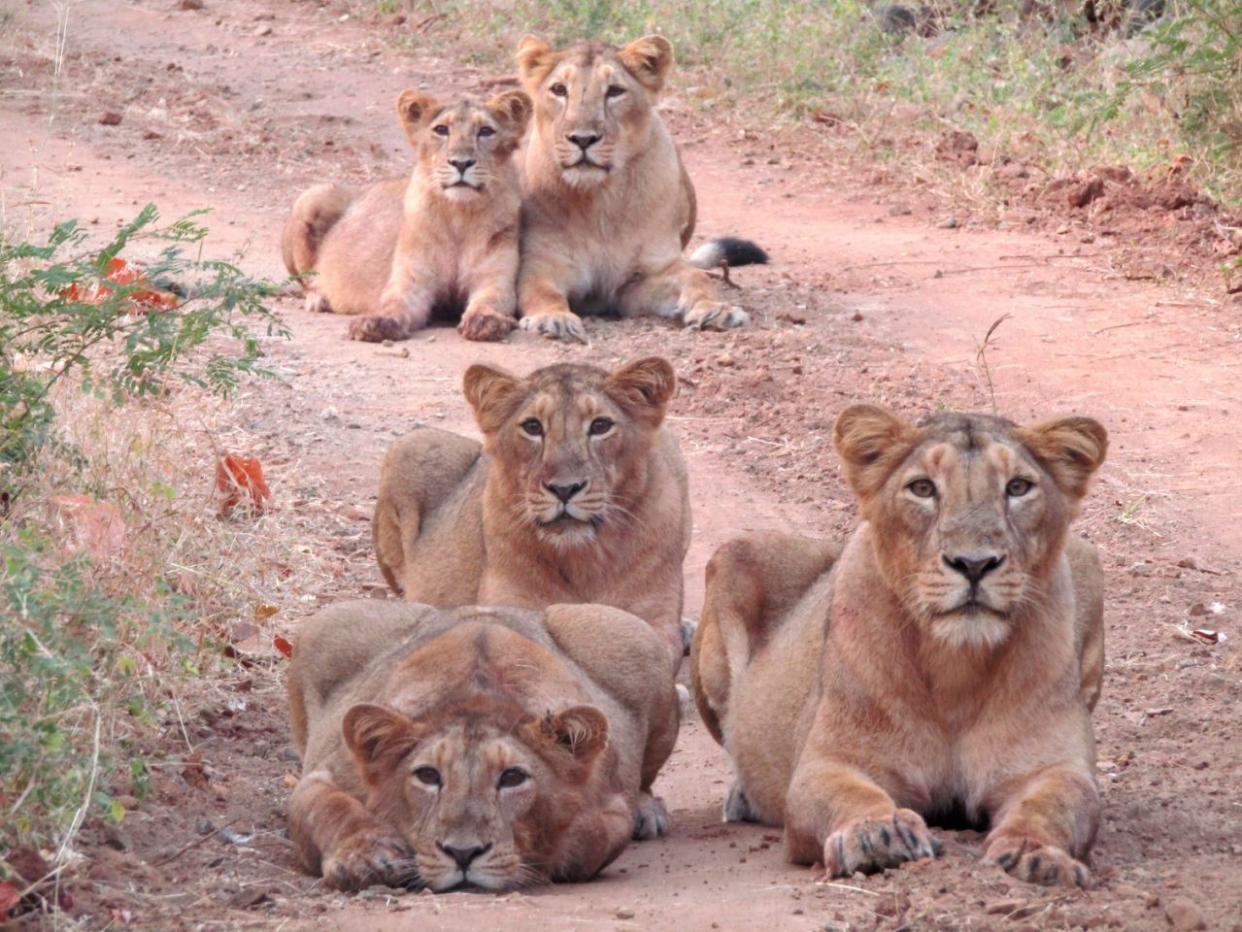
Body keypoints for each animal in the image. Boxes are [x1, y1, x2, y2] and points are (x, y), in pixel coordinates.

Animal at [279, 86, 531, 342]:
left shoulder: (495, 280)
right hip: (314, 195)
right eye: (441, 130)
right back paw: (319, 298)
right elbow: (394, 303)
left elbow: (491, 300)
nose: (461, 163)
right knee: (306, 281)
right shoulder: (411, 280)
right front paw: (374, 323)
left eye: (486, 131)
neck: (458, 215)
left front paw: (486, 321)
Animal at [288, 601, 680, 894]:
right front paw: (367, 859)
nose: (463, 854)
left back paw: (648, 813)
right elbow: (329, 809)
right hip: (324, 629)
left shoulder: (611, 805)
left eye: (512, 778)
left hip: (637, 644)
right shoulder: (325, 774)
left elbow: (589, 840)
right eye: (428, 775)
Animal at [372, 357, 695, 666]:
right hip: (410, 445)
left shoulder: (655, 619)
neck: (584, 559)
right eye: (533, 427)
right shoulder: (507, 605)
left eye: (601, 426)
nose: (564, 489)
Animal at [514, 33, 765, 347]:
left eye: (615, 91)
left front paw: (717, 310)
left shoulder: (636, 282)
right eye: (559, 90)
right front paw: (553, 318)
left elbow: (697, 278)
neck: (601, 200)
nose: (583, 139)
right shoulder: (543, 264)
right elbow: (539, 291)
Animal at [695, 407, 1112, 889]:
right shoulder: (827, 762)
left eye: (1018, 487)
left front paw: (1035, 854)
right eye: (923, 488)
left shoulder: (1055, 767)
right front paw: (877, 833)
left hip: (1087, 558)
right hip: (734, 557)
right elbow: (848, 794)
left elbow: (1053, 807)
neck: (956, 667)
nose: (974, 564)